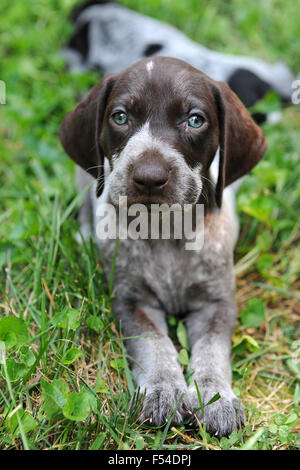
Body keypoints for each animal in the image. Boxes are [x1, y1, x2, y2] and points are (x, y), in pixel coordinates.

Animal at [59, 56, 268, 436]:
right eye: (120, 117)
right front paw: (163, 390)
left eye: (195, 120)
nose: (149, 178)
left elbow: (212, 349)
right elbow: (154, 342)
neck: (164, 230)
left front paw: (216, 396)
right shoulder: (131, 301)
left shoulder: (217, 304)